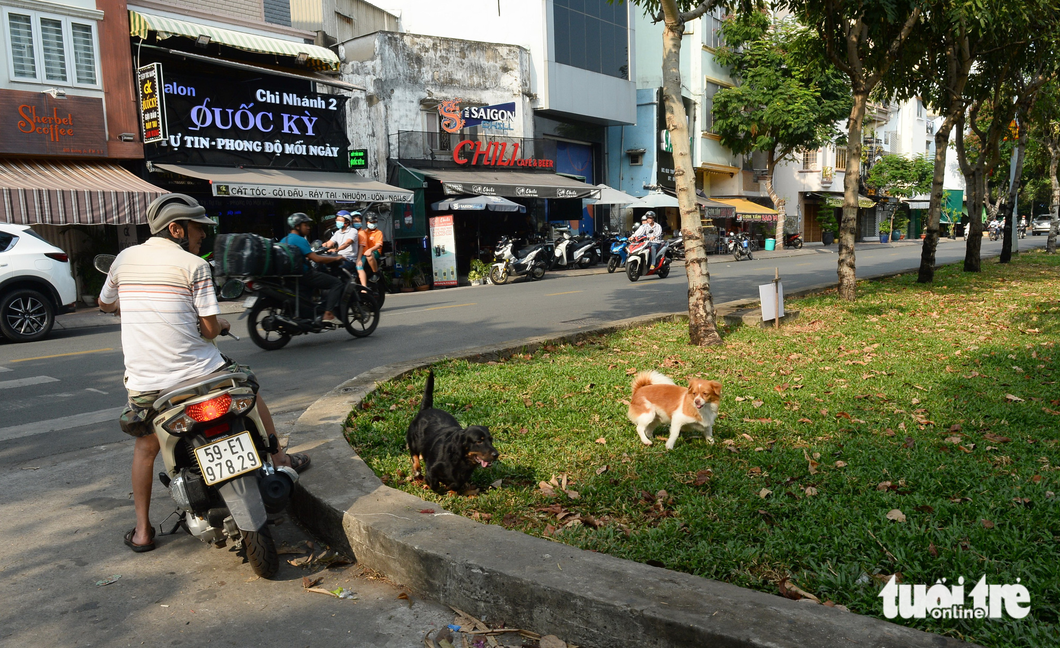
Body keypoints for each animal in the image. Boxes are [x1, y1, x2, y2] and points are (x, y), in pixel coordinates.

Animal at [407, 366, 502, 494]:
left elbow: (455, 484)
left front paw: (450, 489)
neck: (460, 458)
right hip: (413, 441)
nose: (496, 454)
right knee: (414, 455)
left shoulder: (462, 476)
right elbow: (434, 482)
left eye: (491, 440)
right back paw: (417, 469)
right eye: (479, 441)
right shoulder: (432, 469)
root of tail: (427, 409)